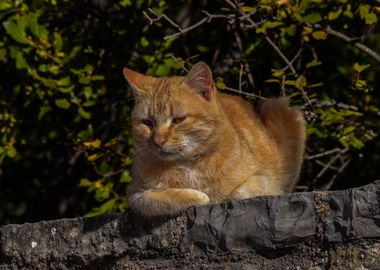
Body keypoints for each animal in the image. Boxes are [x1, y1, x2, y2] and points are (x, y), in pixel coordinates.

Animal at [122, 61, 306, 217]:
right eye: (147, 123)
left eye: (178, 120)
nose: (158, 141)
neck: (188, 165)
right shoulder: (134, 193)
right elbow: (152, 199)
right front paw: (197, 196)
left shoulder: (267, 177)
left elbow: (242, 192)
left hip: (281, 110)